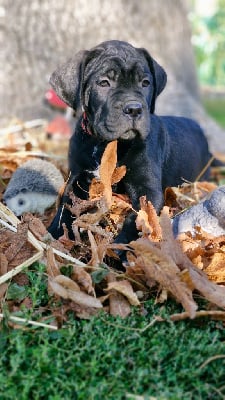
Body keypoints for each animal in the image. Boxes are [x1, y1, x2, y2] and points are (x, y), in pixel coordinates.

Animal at [48, 38, 213, 244]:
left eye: (145, 83)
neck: (106, 145)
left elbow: (139, 218)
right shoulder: (77, 177)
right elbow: (66, 204)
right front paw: (53, 232)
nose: (134, 109)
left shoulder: (147, 189)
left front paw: (122, 246)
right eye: (104, 83)